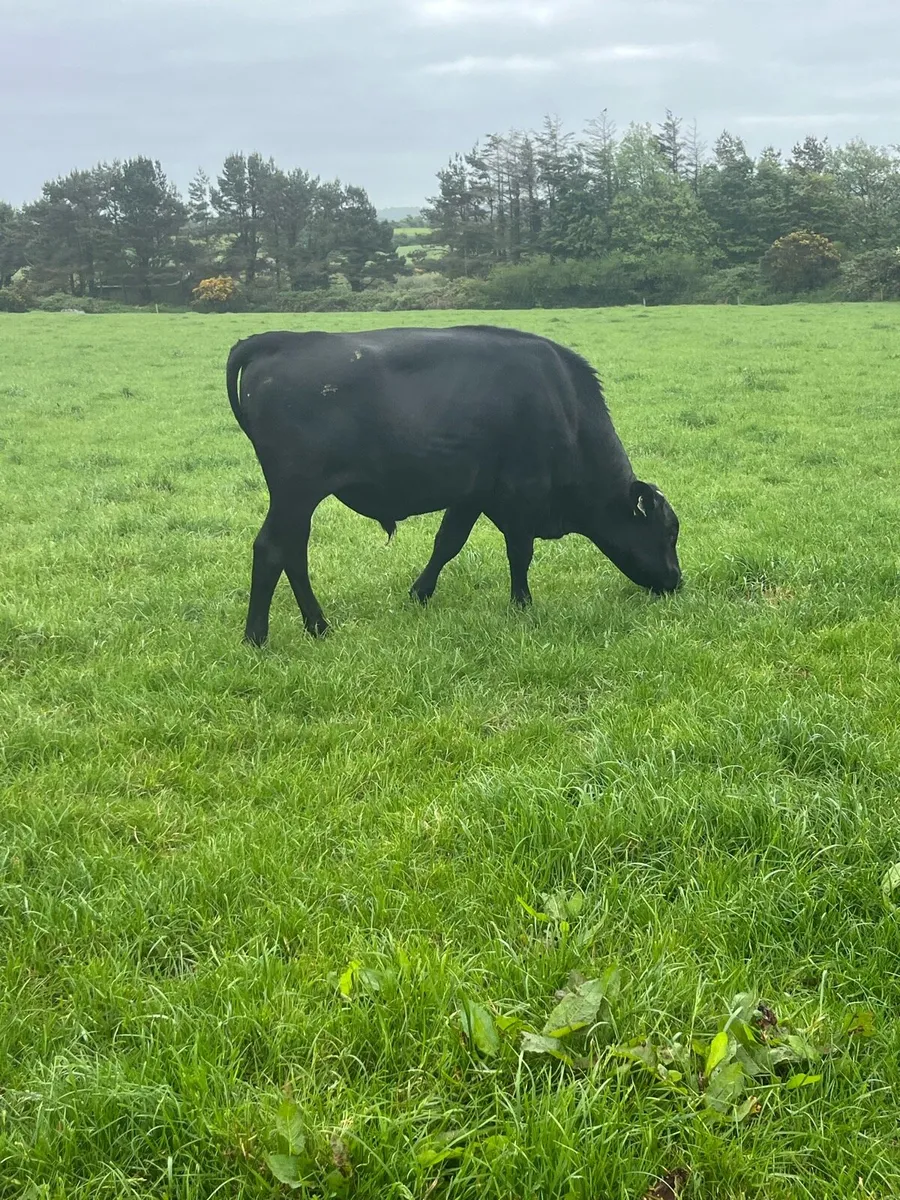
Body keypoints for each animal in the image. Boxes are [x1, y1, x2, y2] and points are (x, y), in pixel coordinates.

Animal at [225, 325, 682, 642]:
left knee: (292, 552)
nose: (677, 581)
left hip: (298, 499)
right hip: (295, 492)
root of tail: (279, 340)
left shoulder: (472, 494)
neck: (566, 409)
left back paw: (316, 625)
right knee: (272, 550)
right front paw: (522, 605)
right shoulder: (522, 493)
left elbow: (447, 543)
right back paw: (259, 636)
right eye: (668, 532)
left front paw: (419, 593)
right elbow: (520, 553)